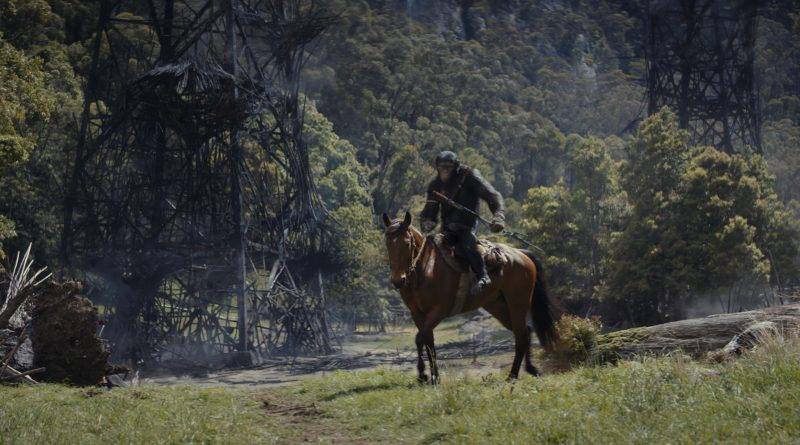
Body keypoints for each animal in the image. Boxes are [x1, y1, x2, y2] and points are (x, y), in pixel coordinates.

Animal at [382, 212, 560, 382]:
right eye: (388, 244)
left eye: (407, 243)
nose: (398, 280)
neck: (426, 268)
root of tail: (521, 254)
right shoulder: (417, 314)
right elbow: (428, 342)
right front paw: (433, 378)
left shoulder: (439, 312)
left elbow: (420, 339)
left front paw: (422, 375)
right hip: (498, 307)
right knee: (524, 332)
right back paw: (529, 369)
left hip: (518, 303)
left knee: (521, 335)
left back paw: (513, 376)